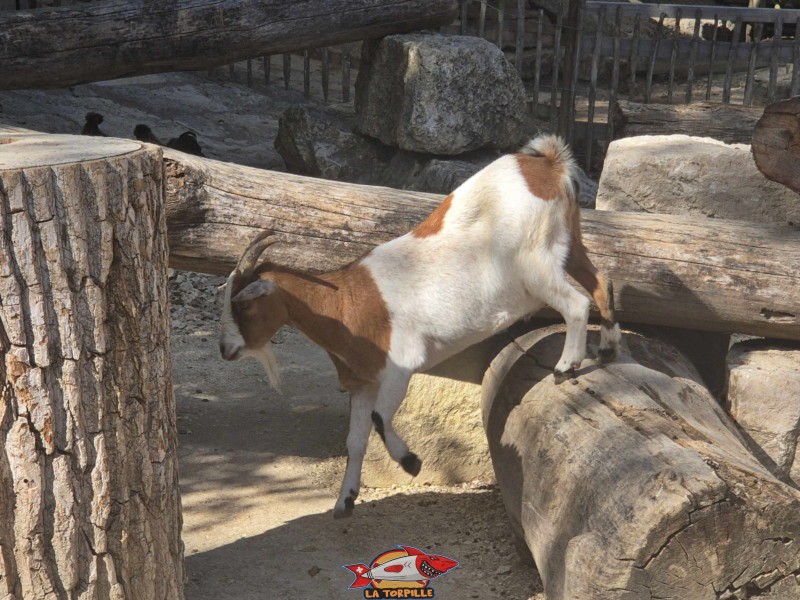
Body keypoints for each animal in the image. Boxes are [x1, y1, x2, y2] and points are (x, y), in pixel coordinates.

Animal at [219, 134, 621, 518]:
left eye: (244, 304)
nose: (225, 349)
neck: (345, 302)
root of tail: (549, 163)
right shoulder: (363, 382)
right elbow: (355, 440)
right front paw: (345, 501)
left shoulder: (400, 366)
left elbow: (380, 418)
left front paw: (411, 463)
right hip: (567, 241)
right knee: (602, 280)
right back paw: (608, 347)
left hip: (536, 263)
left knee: (576, 302)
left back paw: (566, 367)